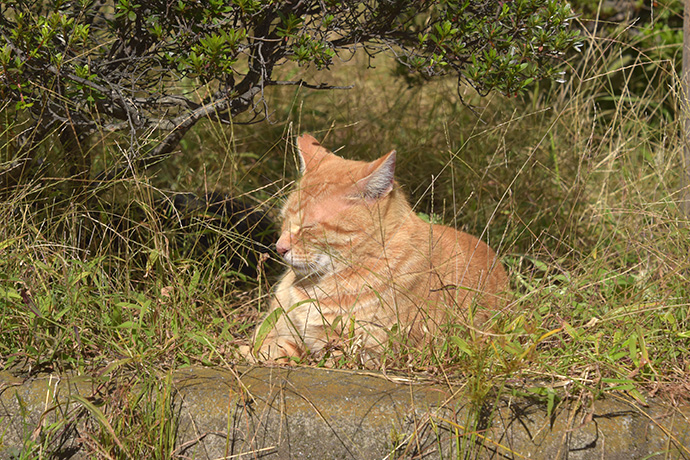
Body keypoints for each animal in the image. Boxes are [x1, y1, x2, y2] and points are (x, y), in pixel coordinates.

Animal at [251, 135, 506, 364]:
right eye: (284, 219)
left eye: (308, 226)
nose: (279, 248)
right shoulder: (281, 333)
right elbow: (265, 347)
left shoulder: (361, 353)